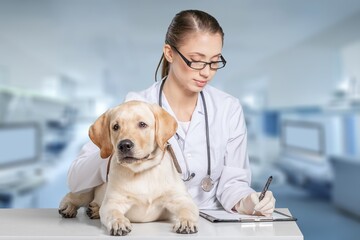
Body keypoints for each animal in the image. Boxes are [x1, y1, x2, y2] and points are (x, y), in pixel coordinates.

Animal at [59, 100, 200, 235]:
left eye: (142, 124)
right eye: (115, 127)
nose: (124, 145)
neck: (142, 171)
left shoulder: (182, 199)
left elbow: (187, 210)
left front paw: (186, 221)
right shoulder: (113, 203)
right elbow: (114, 213)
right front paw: (119, 222)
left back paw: (94, 210)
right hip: (86, 186)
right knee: (73, 195)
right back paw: (68, 207)